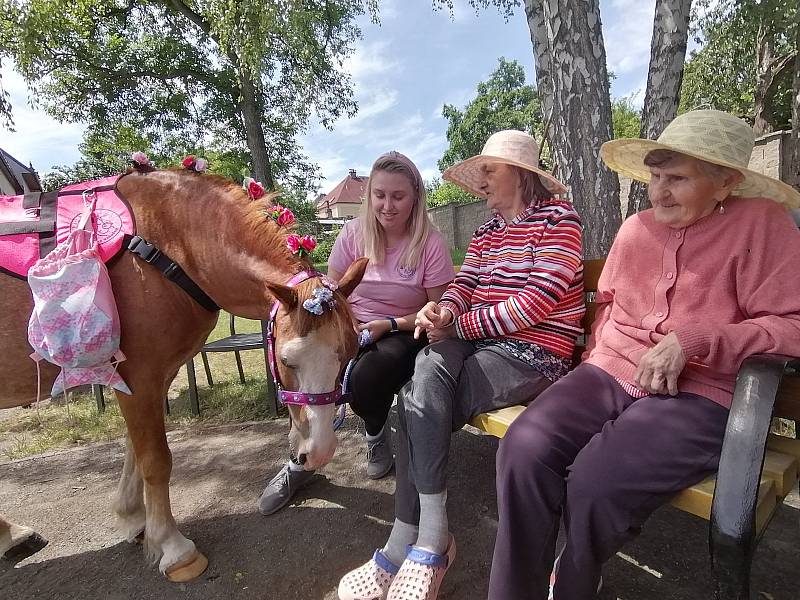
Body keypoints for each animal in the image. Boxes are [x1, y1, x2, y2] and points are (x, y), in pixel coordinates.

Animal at [0, 169, 368, 580]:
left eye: (349, 353)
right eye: (287, 361)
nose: (319, 452)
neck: (170, 241)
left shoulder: (155, 376)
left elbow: (135, 449)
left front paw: (134, 519)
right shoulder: (138, 374)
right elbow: (155, 459)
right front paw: (173, 547)